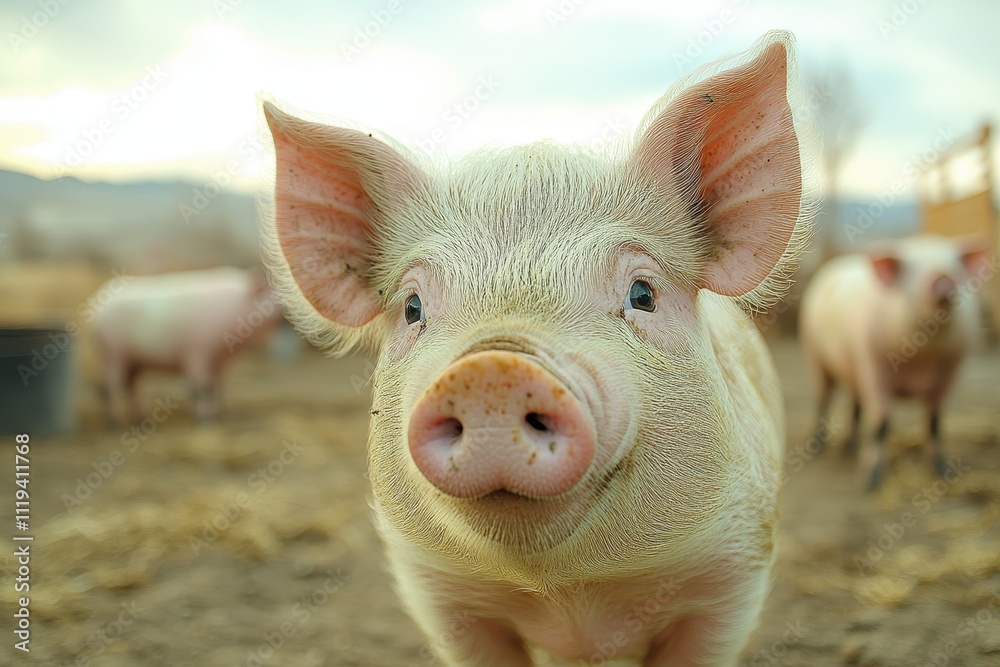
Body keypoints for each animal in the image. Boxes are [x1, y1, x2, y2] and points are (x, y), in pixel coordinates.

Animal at [93, 266, 284, 423]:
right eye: (270, 293)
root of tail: (96, 312)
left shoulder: (220, 361)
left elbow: (217, 386)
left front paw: (219, 413)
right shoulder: (197, 352)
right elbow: (200, 388)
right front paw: (205, 419)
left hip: (133, 361)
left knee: (130, 386)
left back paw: (141, 416)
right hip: (112, 353)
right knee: (108, 386)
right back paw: (115, 422)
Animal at [262, 31, 812, 666]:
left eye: (643, 293)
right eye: (412, 308)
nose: (492, 370)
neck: (567, 592)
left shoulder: (733, 574)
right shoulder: (439, 593)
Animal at [799, 236, 990, 490]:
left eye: (954, 267)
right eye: (912, 271)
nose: (943, 277)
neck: (922, 358)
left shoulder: (950, 371)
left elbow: (934, 422)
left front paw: (941, 471)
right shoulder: (874, 367)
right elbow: (881, 424)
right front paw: (869, 482)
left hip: (853, 370)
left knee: (855, 406)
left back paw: (848, 449)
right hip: (814, 355)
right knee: (823, 398)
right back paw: (818, 447)